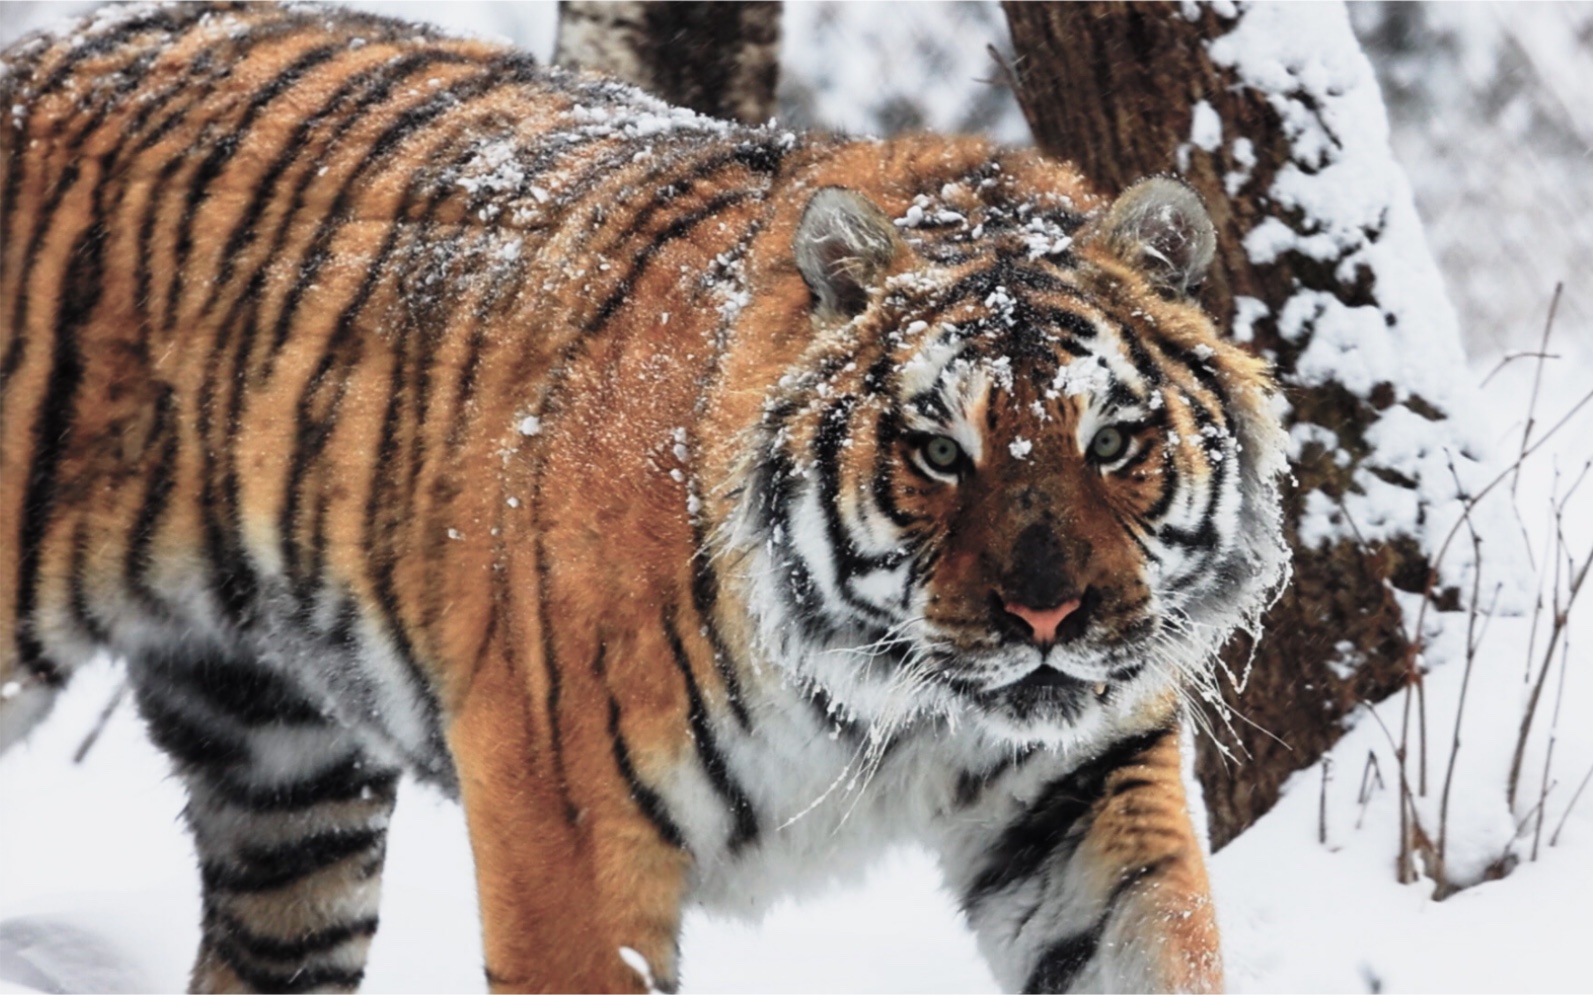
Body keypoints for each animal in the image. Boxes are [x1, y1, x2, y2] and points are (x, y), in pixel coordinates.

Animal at [0, 3, 1293, 987]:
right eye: (937, 452)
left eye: (1112, 439)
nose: (1047, 618)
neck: (894, 702)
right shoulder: (563, 827)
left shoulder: (1080, 795)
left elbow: (1160, 945)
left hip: (284, 779)